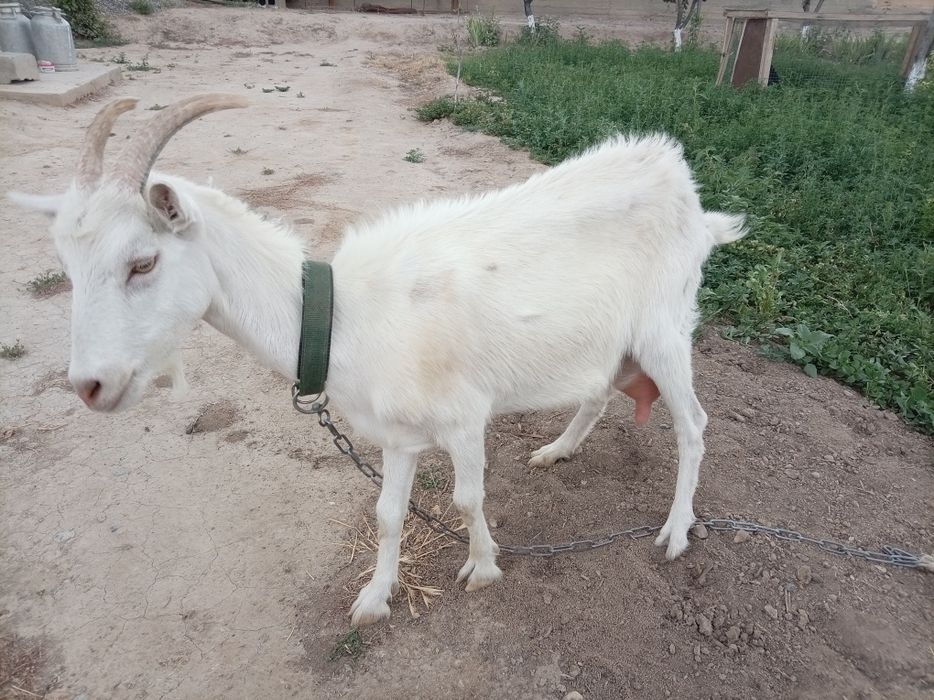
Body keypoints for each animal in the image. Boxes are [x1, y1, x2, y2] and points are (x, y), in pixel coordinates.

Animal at [9, 94, 747, 626]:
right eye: (67, 267)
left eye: (143, 262)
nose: (89, 385)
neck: (344, 319)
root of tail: (683, 186)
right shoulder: (398, 436)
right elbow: (389, 514)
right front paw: (373, 599)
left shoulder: (464, 417)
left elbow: (466, 497)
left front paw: (482, 568)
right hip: (611, 338)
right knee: (598, 387)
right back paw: (558, 450)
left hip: (665, 329)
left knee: (694, 425)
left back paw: (675, 531)